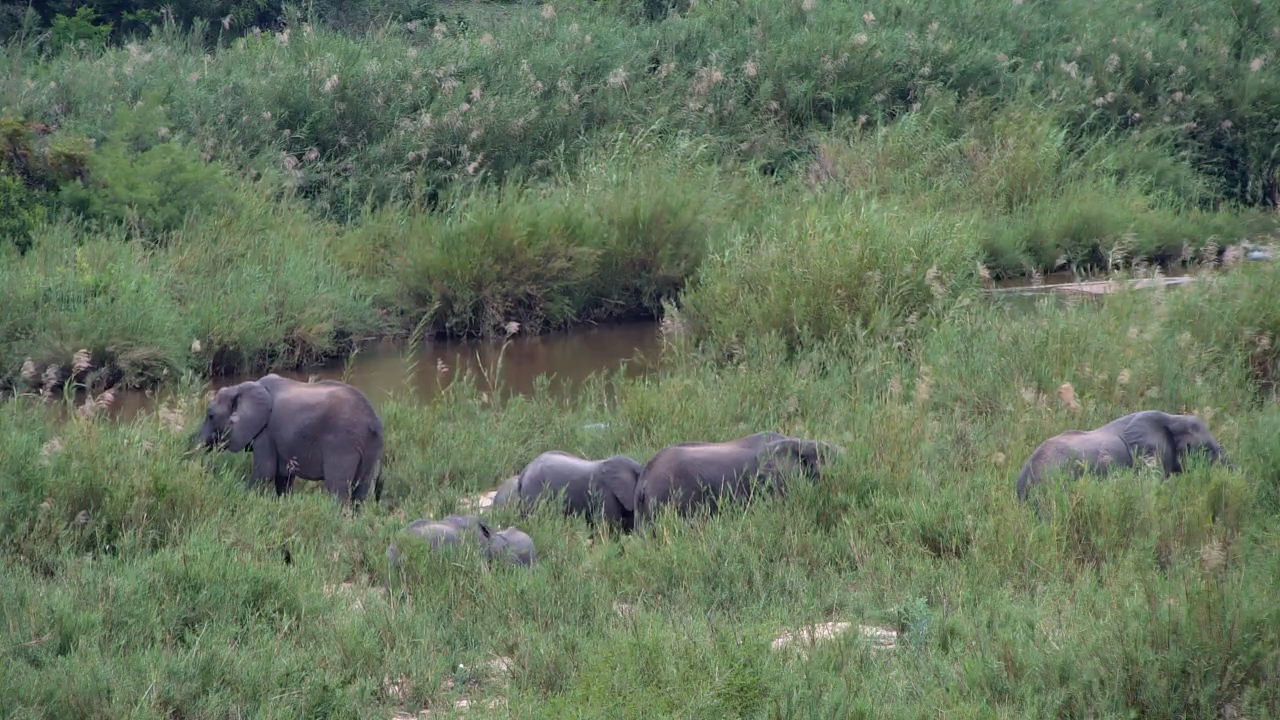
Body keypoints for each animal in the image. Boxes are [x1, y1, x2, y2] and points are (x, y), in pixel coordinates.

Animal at [195, 373, 385, 504]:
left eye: (210, 415)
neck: (242, 387)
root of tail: (372, 420)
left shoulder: (266, 433)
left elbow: (264, 472)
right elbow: (283, 478)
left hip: (343, 443)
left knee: (338, 488)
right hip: (370, 446)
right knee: (361, 490)